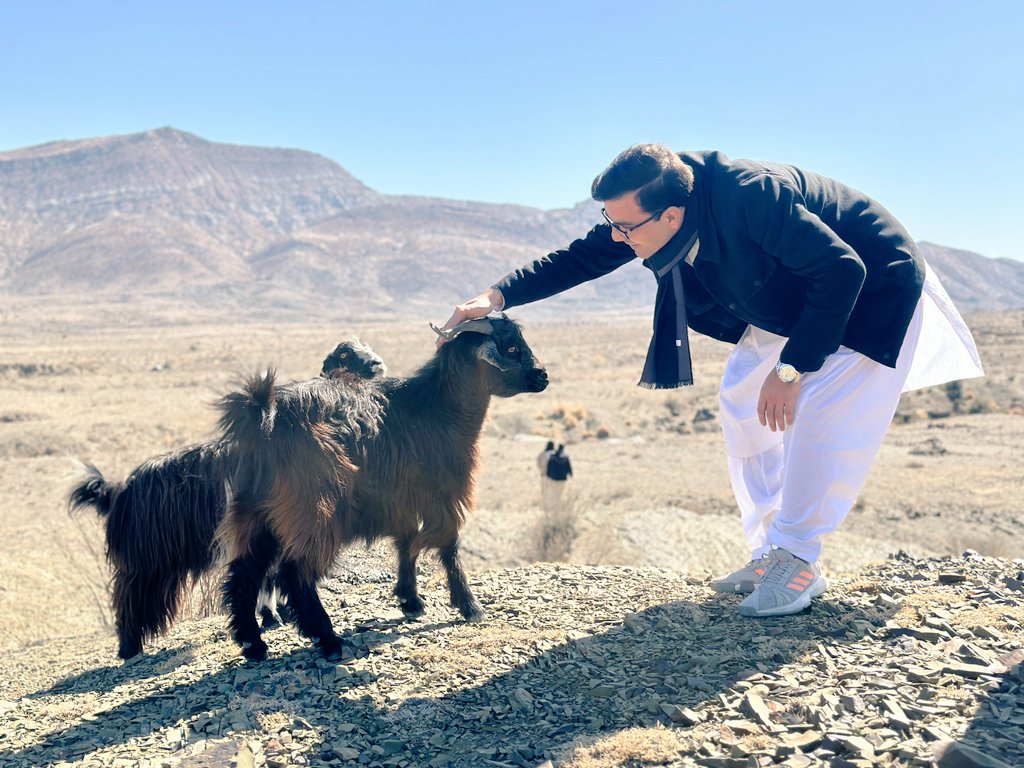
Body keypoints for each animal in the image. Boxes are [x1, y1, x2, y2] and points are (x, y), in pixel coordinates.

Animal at [67, 339, 387, 659]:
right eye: (344, 354)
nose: (377, 364)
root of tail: (118, 489)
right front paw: (274, 618)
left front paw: (275, 616)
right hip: (147, 562)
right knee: (129, 599)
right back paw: (129, 648)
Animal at [217, 317, 548, 663]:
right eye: (511, 349)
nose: (543, 376)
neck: (438, 409)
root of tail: (263, 418)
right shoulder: (442, 494)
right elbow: (448, 545)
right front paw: (470, 607)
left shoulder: (402, 499)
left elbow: (407, 543)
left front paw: (409, 600)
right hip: (314, 510)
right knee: (295, 572)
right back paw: (327, 638)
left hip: (259, 513)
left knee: (244, 572)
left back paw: (252, 643)